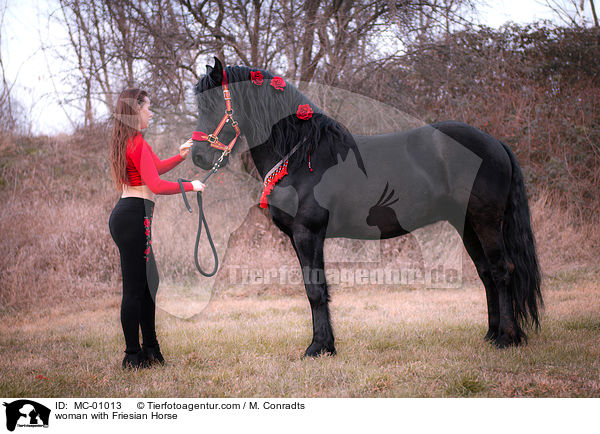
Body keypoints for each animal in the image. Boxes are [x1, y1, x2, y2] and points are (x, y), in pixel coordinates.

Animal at [192, 56, 544, 356]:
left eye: (212, 103)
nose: (198, 156)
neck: (300, 155)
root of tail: (495, 143)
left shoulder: (308, 233)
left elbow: (315, 290)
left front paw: (318, 348)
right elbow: (317, 289)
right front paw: (326, 345)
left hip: (485, 222)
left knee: (502, 270)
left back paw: (507, 338)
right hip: (467, 225)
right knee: (486, 273)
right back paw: (492, 335)